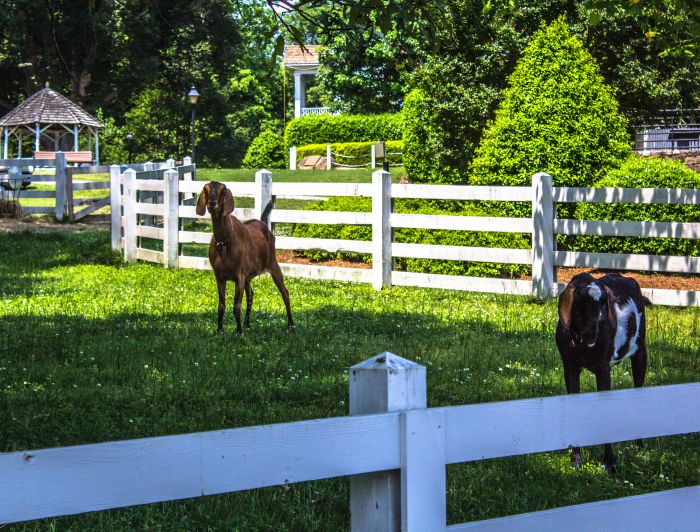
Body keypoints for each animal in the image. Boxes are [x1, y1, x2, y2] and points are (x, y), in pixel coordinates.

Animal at [197, 183, 292, 332]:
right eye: (205, 190)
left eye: (222, 190)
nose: (212, 203)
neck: (224, 243)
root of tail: (263, 224)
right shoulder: (219, 276)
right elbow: (221, 304)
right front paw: (219, 330)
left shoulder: (239, 276)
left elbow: (236, 306)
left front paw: (239, 331)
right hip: (249, 275)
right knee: (251, 295)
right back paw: (247, 324)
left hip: (273, 263)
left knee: (285, 292)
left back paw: (291, 323)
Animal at [556, 272, 652, 472]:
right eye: (581, 301)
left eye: (602, 303)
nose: (593, 331)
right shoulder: (570, 368)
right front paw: (576, 459)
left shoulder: (602, 368)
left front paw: (610, 461)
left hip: (640, 351)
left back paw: (639, 445)